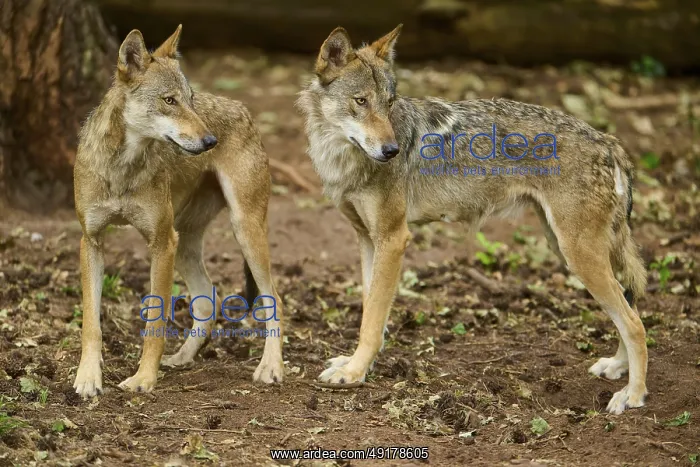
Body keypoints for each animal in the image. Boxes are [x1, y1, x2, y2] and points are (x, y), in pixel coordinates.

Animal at [72, 25, 284, 397]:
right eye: (169, 101)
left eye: (190, 98)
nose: (211, 141)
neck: (122, 169)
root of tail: (242, 107)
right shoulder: (92, 240)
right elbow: (91, 323)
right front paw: (88, 378)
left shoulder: (161, 242)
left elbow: (155, 322)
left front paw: (143, 379)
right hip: (185, 241)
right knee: (207, 300)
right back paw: (183, 358)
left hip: (242, 231)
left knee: (274, 299)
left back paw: (270, 368)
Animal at [297, 25, 648, 414]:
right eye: (360, 101)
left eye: (389, 104)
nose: (392, 151)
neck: (341, 158)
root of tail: (607, 140)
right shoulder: (367, 239)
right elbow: (369, 311)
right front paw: (357, 364)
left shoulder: (394, 239)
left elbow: (372, 320)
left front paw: (354, 372)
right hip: (567, 248)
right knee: (631, 305)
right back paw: (617, 367)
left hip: (578, 254)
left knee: (634, 323)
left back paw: (633, 395)